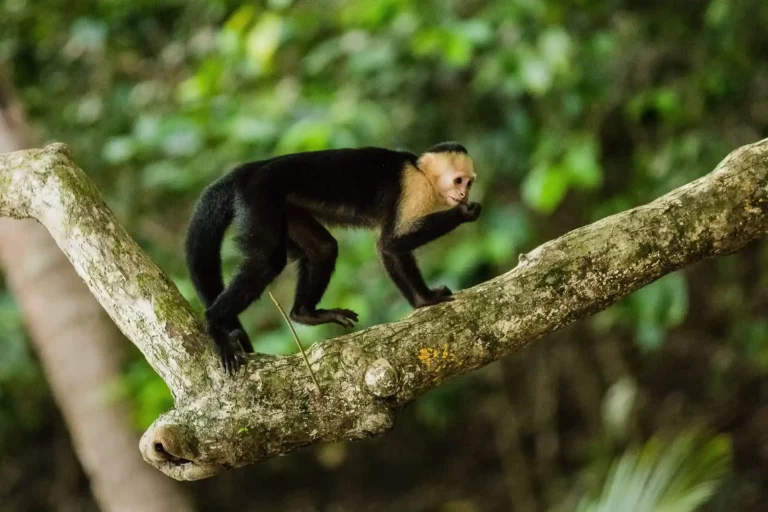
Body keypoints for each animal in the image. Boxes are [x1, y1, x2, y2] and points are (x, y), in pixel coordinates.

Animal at [185, 141, 481, 375]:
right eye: (458, 180)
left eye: (469, 182)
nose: (464, 194)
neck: (421, 173)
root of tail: (250, 170)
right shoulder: (413, 188)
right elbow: (391, 242)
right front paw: (464, 213)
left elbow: (389, 249)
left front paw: (422, 300)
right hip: (259, 197)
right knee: (267, 262)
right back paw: (214, 324)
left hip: (285, 207)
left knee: (323, 248)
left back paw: (305, 314)